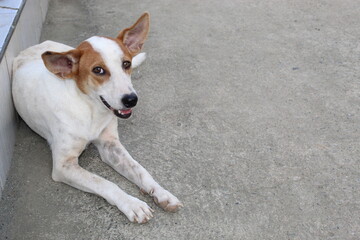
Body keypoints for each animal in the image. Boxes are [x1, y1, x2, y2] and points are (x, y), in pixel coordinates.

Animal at [11, 12, 183, 223]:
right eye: (98, 70)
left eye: (126, 64)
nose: (131, 100)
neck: (91, 108)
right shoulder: (64, 165)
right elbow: (104, 183)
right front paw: (132, 204)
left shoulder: (110, 145)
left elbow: (141, 170)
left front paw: (162, 193)